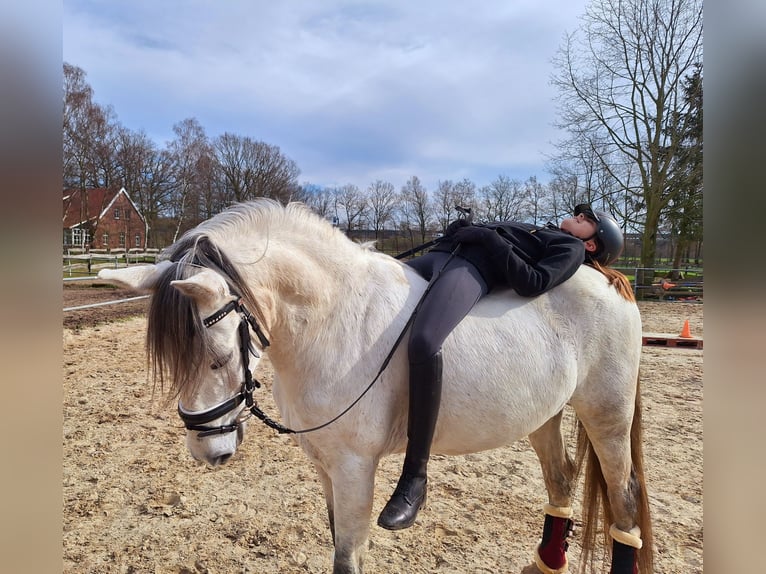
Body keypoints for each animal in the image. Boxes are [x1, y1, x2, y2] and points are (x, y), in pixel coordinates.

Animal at [98, 199, 653, 574]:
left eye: (216, 359)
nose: (207, 452)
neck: (329, 317)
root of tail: (610, 279)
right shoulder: (325, 464)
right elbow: (339, 543)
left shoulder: (353, 466)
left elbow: (346, 557)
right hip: (543, 416)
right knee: (560, 482)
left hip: (606, 415)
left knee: (624, 501)